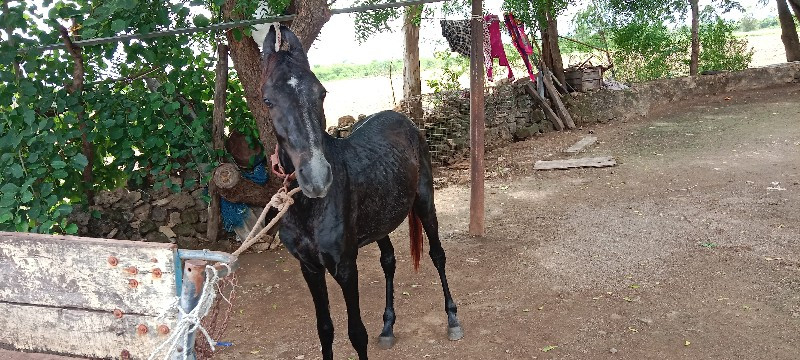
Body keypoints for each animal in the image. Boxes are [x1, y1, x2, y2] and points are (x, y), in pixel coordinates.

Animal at [260, 23, 466, 358]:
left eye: (321, 92)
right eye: (268, 100)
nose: (317, 178)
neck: (309, 209)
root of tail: (401, 117)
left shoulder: (345, 267)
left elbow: (356, 333)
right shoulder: (309, 268)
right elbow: (325, 330)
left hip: (425, 203)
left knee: (437, 255)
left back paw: (452, 319)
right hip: (381, 221)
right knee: (389, 262)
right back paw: (388, 327)